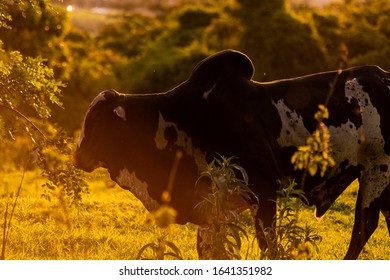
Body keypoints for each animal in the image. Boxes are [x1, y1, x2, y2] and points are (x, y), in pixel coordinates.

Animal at [74, 49, 390, 260]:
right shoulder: (213, 204)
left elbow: (268, 245)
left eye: (98, 120)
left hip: (377, 170)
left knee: (363, 227)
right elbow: (212, 248)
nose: (77, 156)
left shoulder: (264, 192)